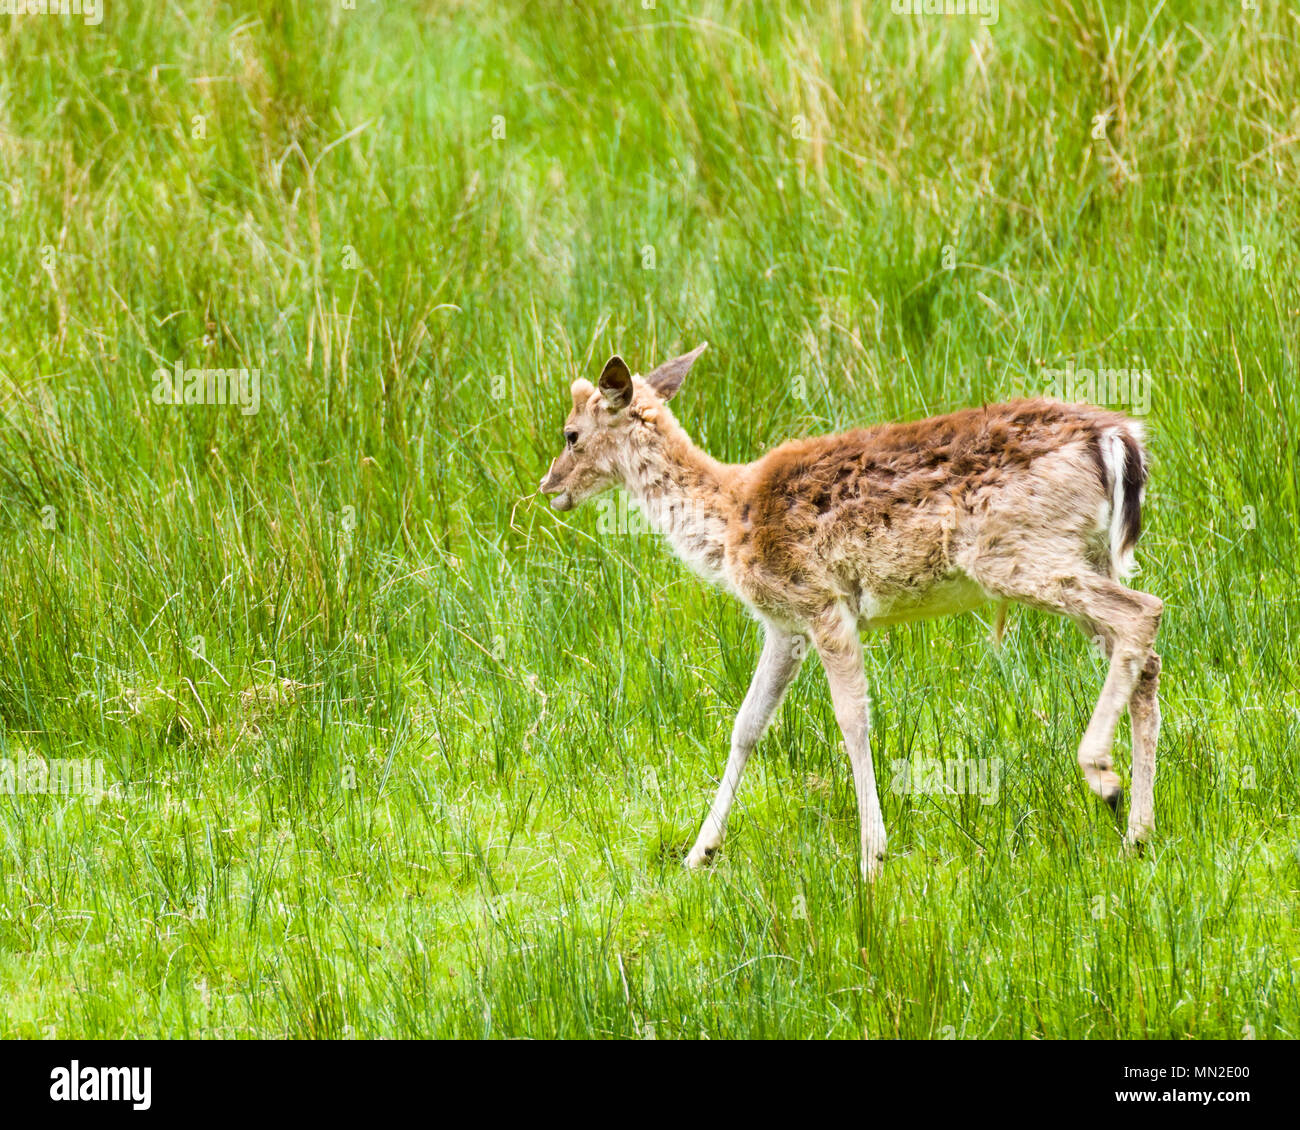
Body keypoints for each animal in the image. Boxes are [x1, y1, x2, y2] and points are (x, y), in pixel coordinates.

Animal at [533, 343, 1164, 884]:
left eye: (570, 434)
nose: (547, 485)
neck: (730, 518)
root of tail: (1119, 439)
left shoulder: (822, 603)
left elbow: (852, 719)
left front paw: (871, 857)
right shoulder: (783, 624)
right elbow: (747, 724)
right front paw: (698, 853)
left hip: (1016, 554)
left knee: (1144, 611)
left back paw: (1102, 776)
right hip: (1087, 553)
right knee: (1144, 657)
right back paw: (1138, 833)